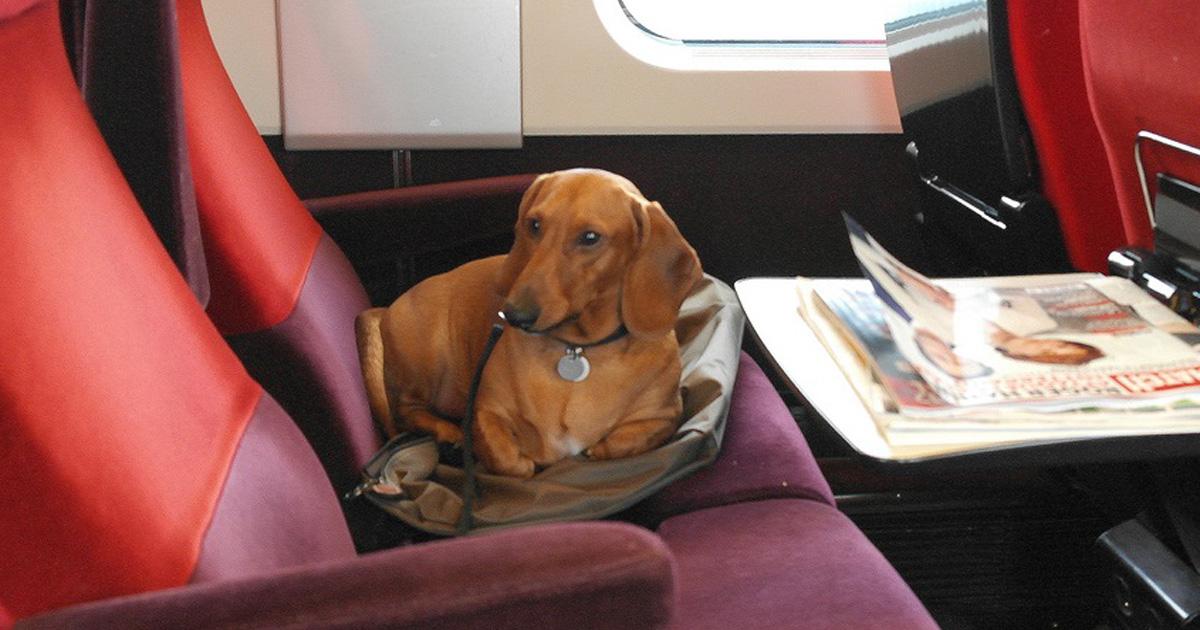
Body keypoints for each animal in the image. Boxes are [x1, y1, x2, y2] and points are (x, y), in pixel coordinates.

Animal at [352, 166, 700, 477]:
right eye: (534, 225)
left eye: (590, 237)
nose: (514, 315)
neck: (578, 349)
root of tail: (390, 308)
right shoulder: (486, 411)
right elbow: (510, 460)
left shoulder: (664, 416)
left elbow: (622, 442)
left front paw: (595, 449)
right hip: (429, 361)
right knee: (406, 413)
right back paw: (448, 433)